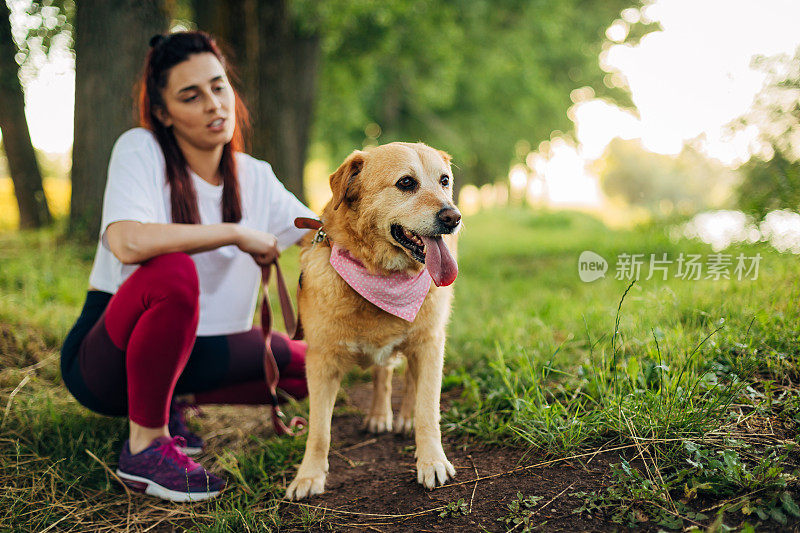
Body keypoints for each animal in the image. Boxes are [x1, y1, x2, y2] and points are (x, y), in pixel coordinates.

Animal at [288, 141, 462, 498]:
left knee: (409, 380)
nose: (453, 217)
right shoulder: (321, 361)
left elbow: (428, 410)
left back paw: (404, 417)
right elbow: (319, 430)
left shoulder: (430, 344)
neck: (382, 274)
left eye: (444, 181)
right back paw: (380, 414)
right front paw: (308, 476)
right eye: (406, 183)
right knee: (383, 374)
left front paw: (431, 461)